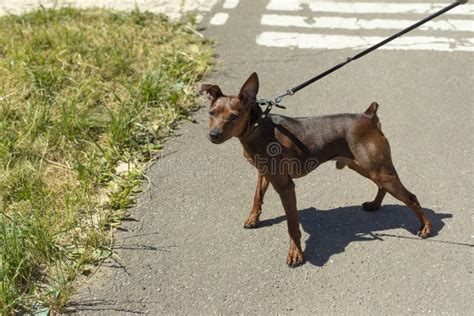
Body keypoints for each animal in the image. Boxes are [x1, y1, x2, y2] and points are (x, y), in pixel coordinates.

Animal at [200, 73, 434, 266]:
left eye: (234, 116)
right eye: (211, 113)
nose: (213, 135)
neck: (257, 129)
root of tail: (369, 116)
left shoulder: (285, 186)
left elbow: (292, 224)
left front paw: (295, 254)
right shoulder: (264, 173)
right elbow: (257, 196)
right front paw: (253, 219)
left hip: (378, 169)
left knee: (411, 197)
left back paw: (426, 228)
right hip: (363, 166)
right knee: (382, 186)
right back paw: (375, 205)